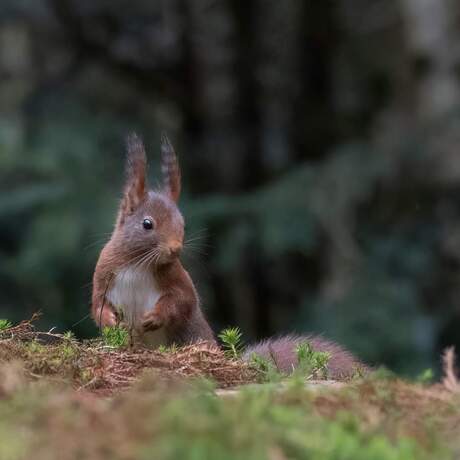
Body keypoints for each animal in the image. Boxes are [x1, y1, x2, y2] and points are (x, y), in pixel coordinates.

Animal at [92, 135, 217, 346]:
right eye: (147, 224)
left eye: (183, 224)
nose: (175, 249)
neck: (137, 262)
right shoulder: (103, 274)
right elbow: (98, 306)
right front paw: (111, 322)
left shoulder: (177, 277)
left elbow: (183, 300)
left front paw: (154, 317)